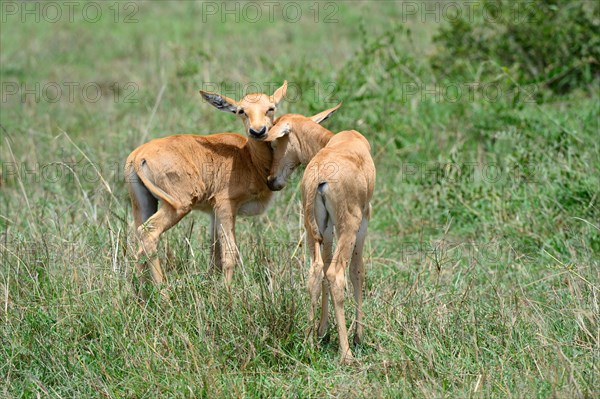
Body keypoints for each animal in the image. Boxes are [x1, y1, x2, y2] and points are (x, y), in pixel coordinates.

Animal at [123, 82, 288, 288]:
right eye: (241, 111)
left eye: (271, 108)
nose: (258, 132)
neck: (246, 155)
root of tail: (139, 156)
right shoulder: (226, 205)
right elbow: (229, 254)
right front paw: (227, 292)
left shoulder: (213, 212)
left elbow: (214, 255)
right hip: (178, 206)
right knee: (149, 234)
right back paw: (163, 291)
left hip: (143, 204)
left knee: (139, 244)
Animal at [258, 104, 376, 366]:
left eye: (275, 142)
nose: (271, 180)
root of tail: (320, 175)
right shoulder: (362, 221)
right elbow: (357, 272)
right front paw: (358, 336)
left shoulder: (326, 229)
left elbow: (323, 270)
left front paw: (322, 332)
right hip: (348, 226)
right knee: (335, 274)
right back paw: (346, 354)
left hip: (312, 229)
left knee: (315, 271)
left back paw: (308, 343)